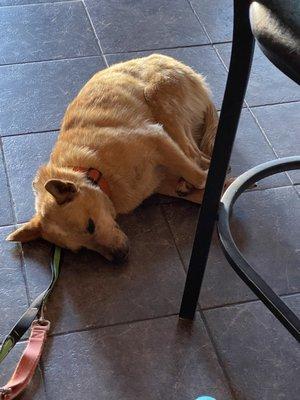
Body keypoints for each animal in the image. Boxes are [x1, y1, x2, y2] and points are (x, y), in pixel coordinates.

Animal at [7, 54, 227, 264]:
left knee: (197, 155)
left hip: (157, 96)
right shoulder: (162, 181)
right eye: (80, 249)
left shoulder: (155, 137)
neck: (91, 170)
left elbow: (199, 176)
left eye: (90, 226)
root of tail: (194, 76)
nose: (119, 259)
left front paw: (207, 181)